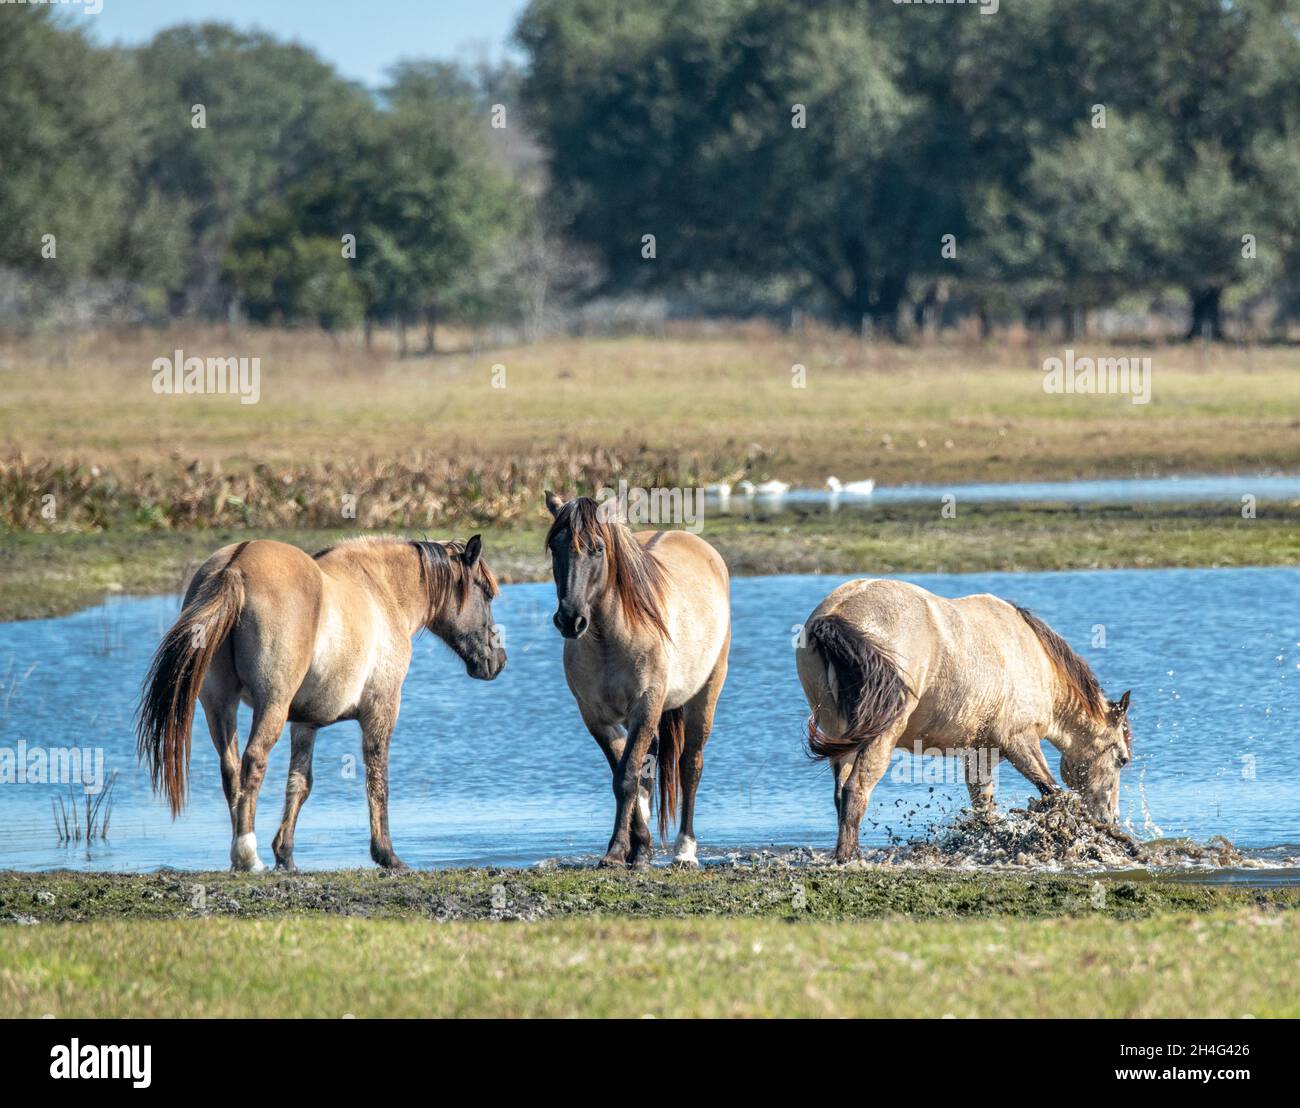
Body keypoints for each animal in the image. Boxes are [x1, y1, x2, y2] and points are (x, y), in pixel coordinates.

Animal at [137, 535, 501, 873]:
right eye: (486, 592)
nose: (497, 661)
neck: (382, 591)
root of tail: (234, 567)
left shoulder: (304, 723)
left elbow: (300, 783)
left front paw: (285, 855)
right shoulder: (382, 708)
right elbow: (378, 780)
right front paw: (387, 855)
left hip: (219, 703)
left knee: (231, 770)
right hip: (271, 703)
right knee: (253, 762)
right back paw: (248, 855)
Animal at [543, 491, 733, 863]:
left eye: (597, 548)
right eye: (555, 547)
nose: (570, 619)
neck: (610, 639)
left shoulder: (645, 708)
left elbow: (627, 777)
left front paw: (618, 851)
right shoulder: (596, 717)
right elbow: (625, 774)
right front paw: (636, 846)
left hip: (706, 693)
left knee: (690, 765)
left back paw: (685, 851)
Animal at [790, 580, 1128, 863]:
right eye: (1122, 759)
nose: (1110, 817)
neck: (1033, 656)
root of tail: (835, 615)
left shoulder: (981, 752)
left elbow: (984, 807)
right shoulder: (1019, 740)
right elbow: (1054, 793)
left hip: (840, 731)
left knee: (840, 793)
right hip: (881, 735)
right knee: (856, 789)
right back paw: (849, 857)